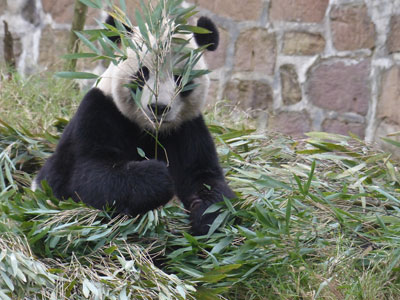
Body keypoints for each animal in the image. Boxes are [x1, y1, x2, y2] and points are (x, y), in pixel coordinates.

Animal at [34, 14, 236, 234]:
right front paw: (160, 176)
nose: (158, 107)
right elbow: (90, 175)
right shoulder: (99, 111)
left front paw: (208, 215)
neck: (150, 130)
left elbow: (205, 177)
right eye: (143, 73)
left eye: (179, 78)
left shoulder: (187, 128)